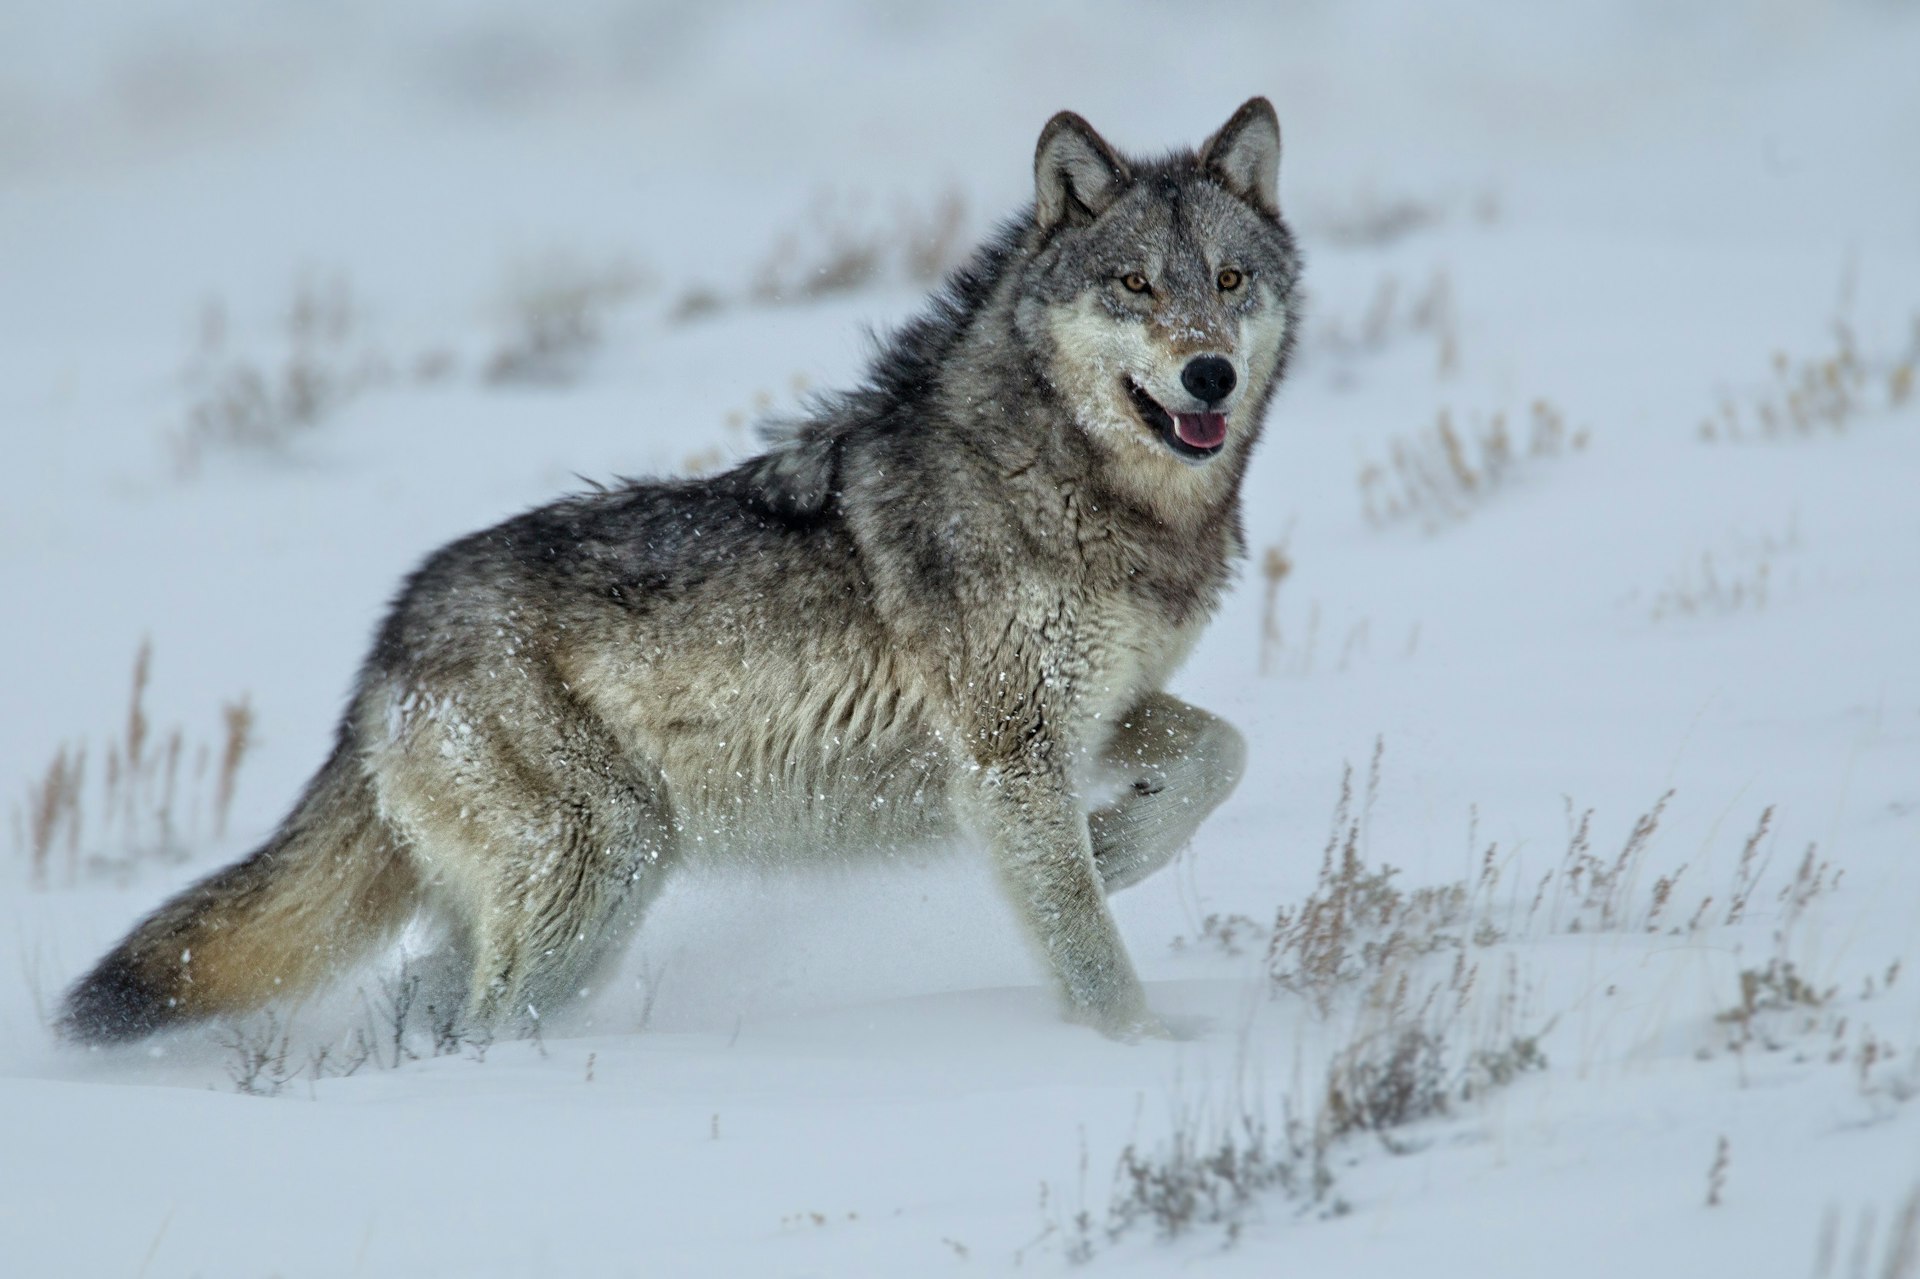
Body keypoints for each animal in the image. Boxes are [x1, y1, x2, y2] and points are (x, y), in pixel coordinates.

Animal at [56, 96, 1305, 1037]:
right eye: (1136, 285)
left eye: (1228, 282)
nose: (1207, 375)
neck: (1079, 486)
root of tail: (387, 644)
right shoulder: (1011, 757)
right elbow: (1089, 948)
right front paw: (1137, 1046)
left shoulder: (1101, 709)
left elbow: (1224, 754)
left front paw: (1123, 844)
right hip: (599, 871)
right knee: (482, 1026)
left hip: (588, 893)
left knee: (425, 1009)